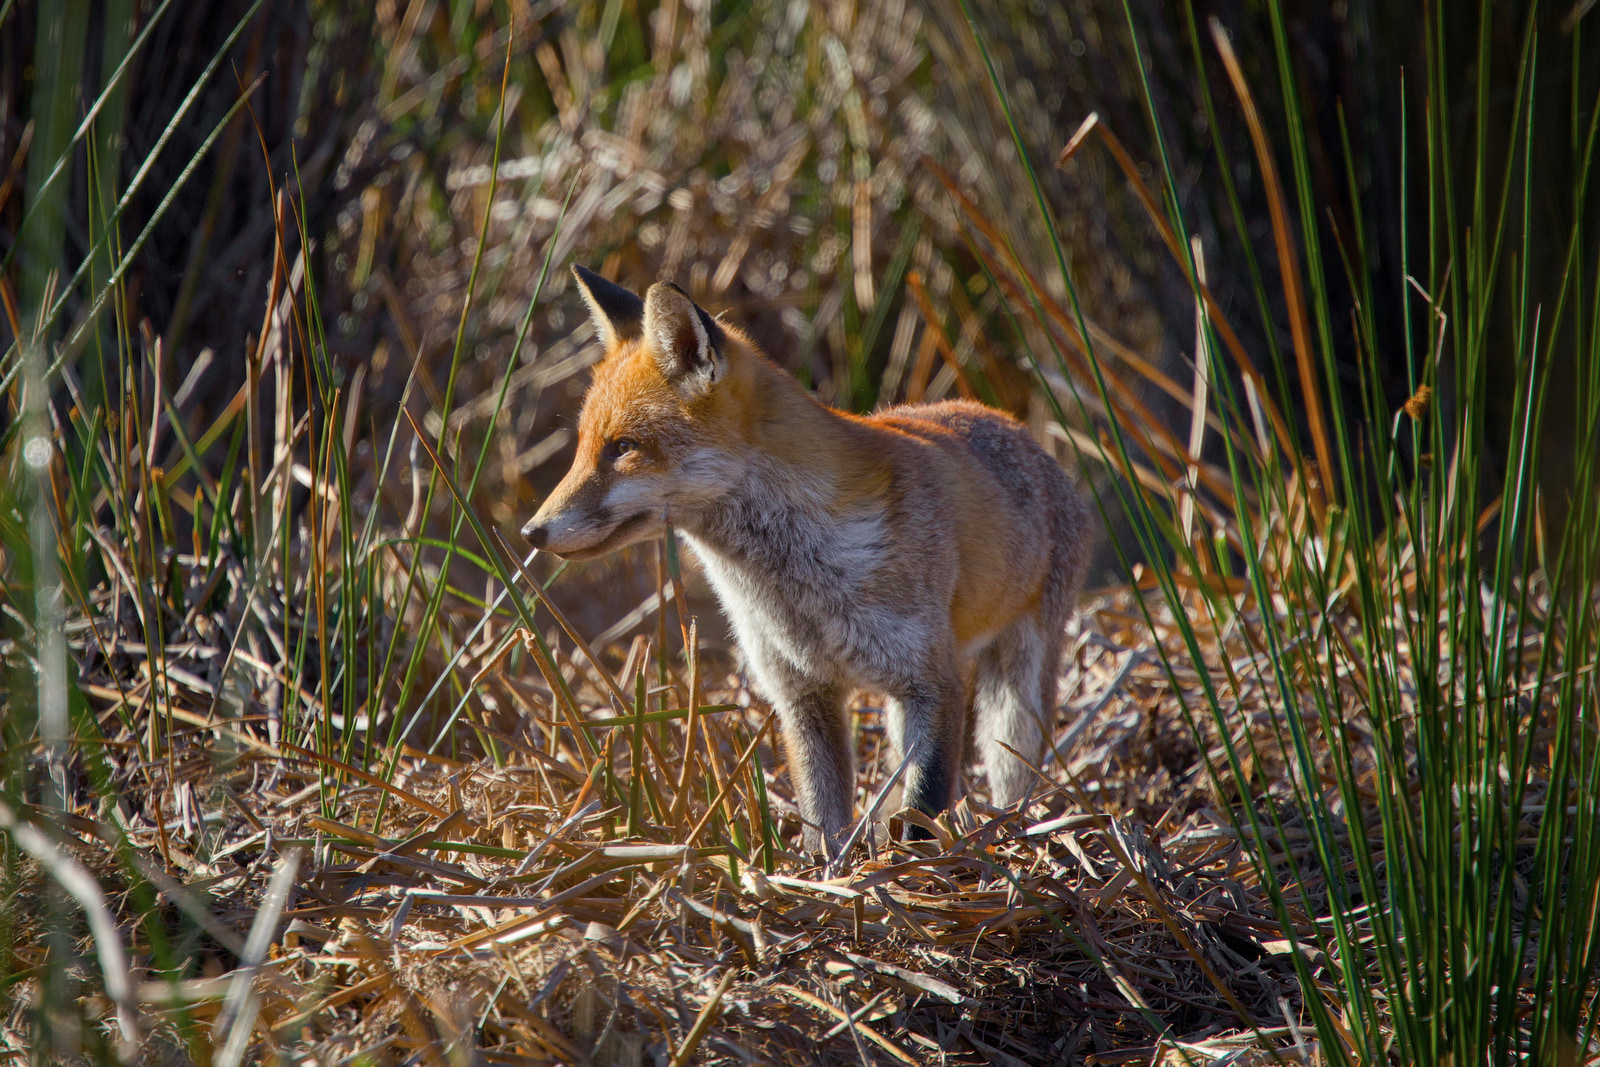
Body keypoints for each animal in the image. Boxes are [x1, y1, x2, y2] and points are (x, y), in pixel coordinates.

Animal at [523, 264, 1093, 857]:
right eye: (583, 445)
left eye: (623, 448)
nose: (531, 532)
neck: (798, 583)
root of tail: (1012, 424)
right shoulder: (800, 693)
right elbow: (823, 816)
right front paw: (828, 870)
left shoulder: (934, 682)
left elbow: (921, 808)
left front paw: (913, 867)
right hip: (903, 712)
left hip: (1013, 697)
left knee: (1012, 772)